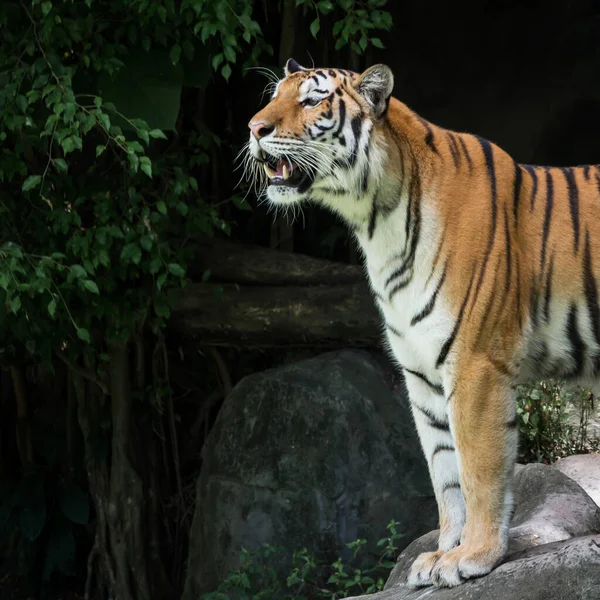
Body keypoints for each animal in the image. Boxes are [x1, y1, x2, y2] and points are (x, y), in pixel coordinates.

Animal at [243, 58, 600, 588]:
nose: (253, 128)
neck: (377, 220)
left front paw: (475, 555)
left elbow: (478, 469)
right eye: (274, 96)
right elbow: (444, 471)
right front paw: (441, 553)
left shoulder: (475, 366)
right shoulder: (422, 372)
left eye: (312, 100)